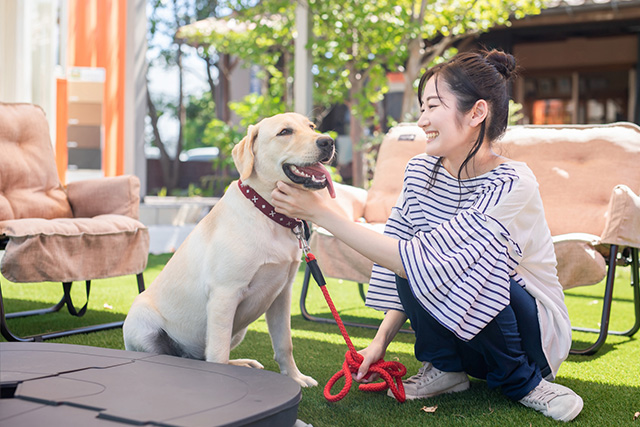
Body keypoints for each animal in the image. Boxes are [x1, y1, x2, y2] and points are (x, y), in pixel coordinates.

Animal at [122, 113, 338, 388]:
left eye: (311, 127)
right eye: (285, 132)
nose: (328, 141)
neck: (268, 213)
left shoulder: (282, 294)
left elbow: (284, 344)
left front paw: (294, 377)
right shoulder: (224, 295)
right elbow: (218, 354)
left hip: (240, 329)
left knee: (203, 357)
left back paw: (244, 364)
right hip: (142, 322)